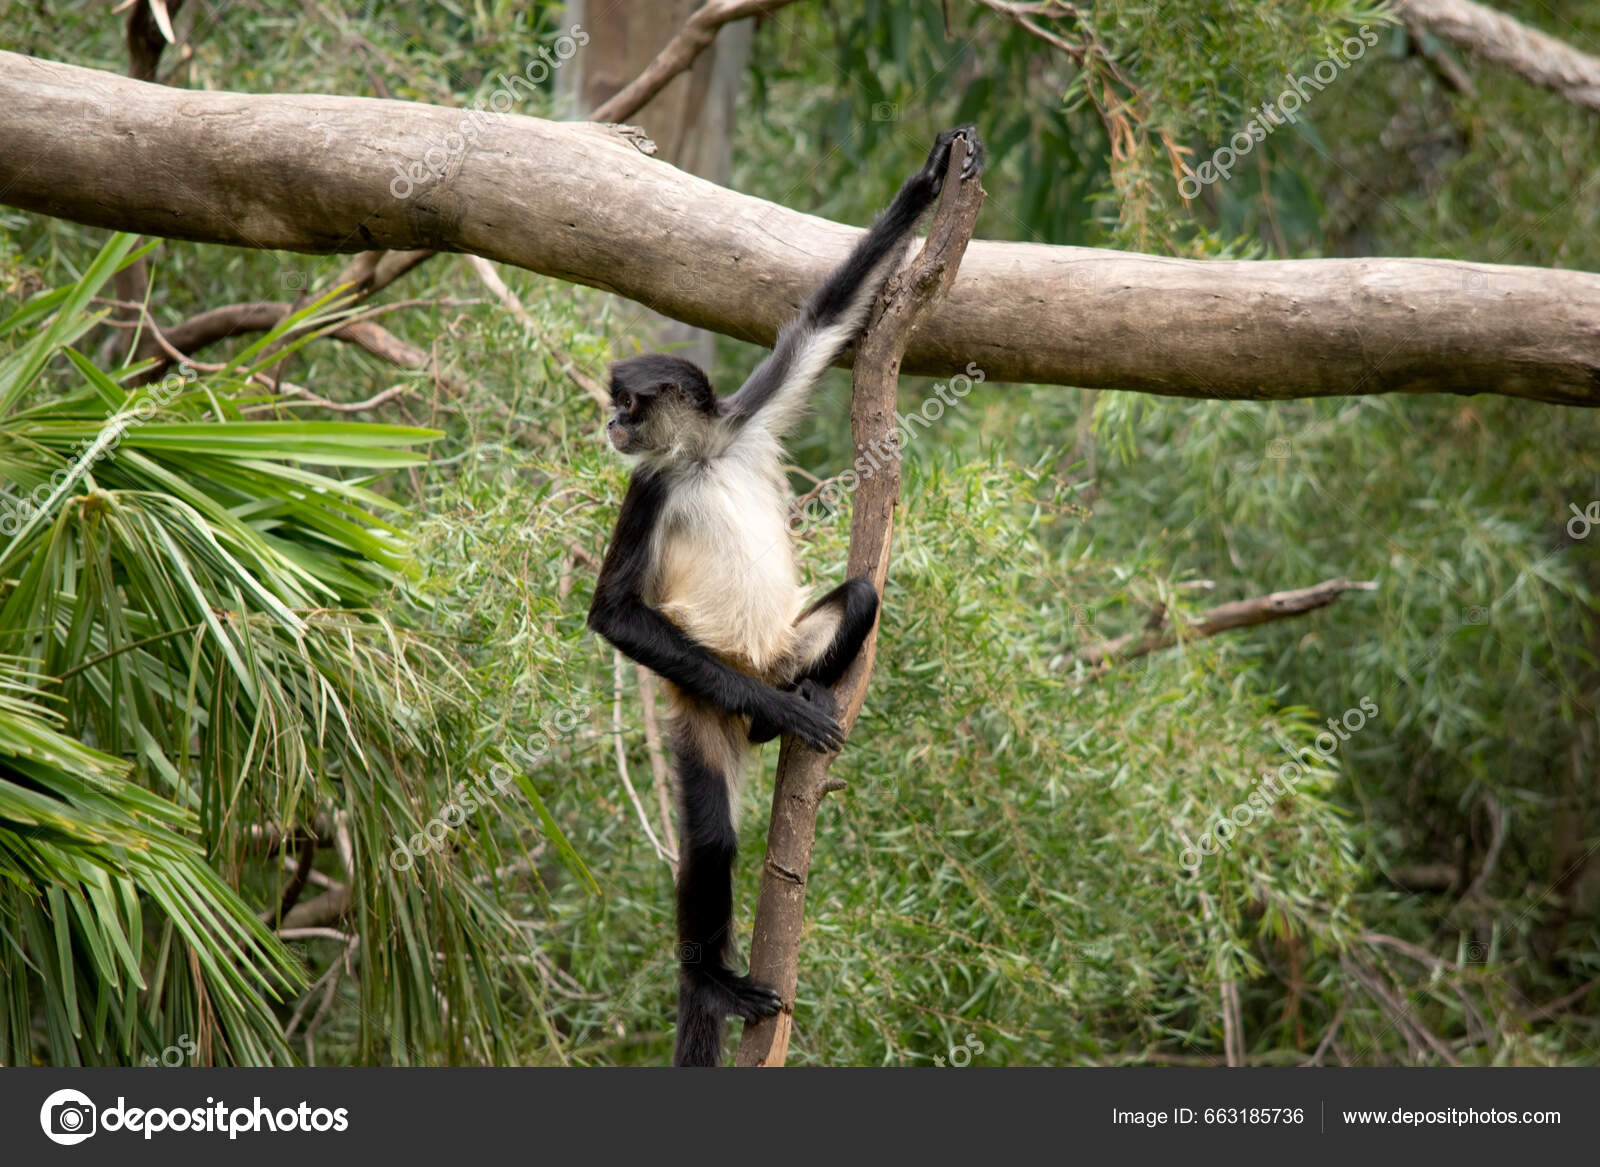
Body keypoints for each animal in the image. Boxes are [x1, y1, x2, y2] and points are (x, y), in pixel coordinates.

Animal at [592, 127, 979, 1062]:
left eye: (630, 405)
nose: (611, 423)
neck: (700, 459)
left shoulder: (743, 420)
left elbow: (825, 322)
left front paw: (928, 183)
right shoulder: (649, 489)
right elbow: (612, 613)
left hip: (777, 647)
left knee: (864, 597)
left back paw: (788, 705)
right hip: (699, 694)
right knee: (711, 839)